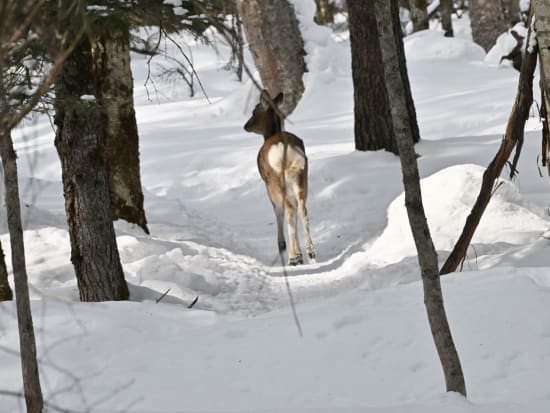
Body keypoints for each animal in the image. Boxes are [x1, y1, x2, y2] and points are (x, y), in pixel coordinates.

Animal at [244, 89, 316, 264]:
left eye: (254, 111)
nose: (245, 125)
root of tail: (285, 148)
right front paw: (300, 252)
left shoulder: (268, 188)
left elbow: (278, 212)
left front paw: (284, 246)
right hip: (301, 177)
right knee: (302, 209)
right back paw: (310, 252)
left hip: (275, 180)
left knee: (288, 210)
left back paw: (293, 257)